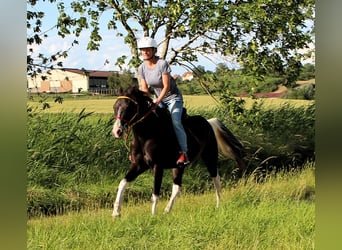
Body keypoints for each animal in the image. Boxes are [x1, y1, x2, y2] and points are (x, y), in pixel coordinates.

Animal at [111, 85, 244, 217]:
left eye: (129, 107)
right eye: (115, 107)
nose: (117, 131)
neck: (146, 136)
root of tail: (209, 123)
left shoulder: (158, 166)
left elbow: (155, 193)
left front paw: (153, 216)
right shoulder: (139, 165)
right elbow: (122, 183)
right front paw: (116, 212)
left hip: (210, 157)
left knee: (216, 179)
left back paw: (218, 205)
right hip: (179, 166)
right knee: (177, 187)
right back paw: (167, 211)